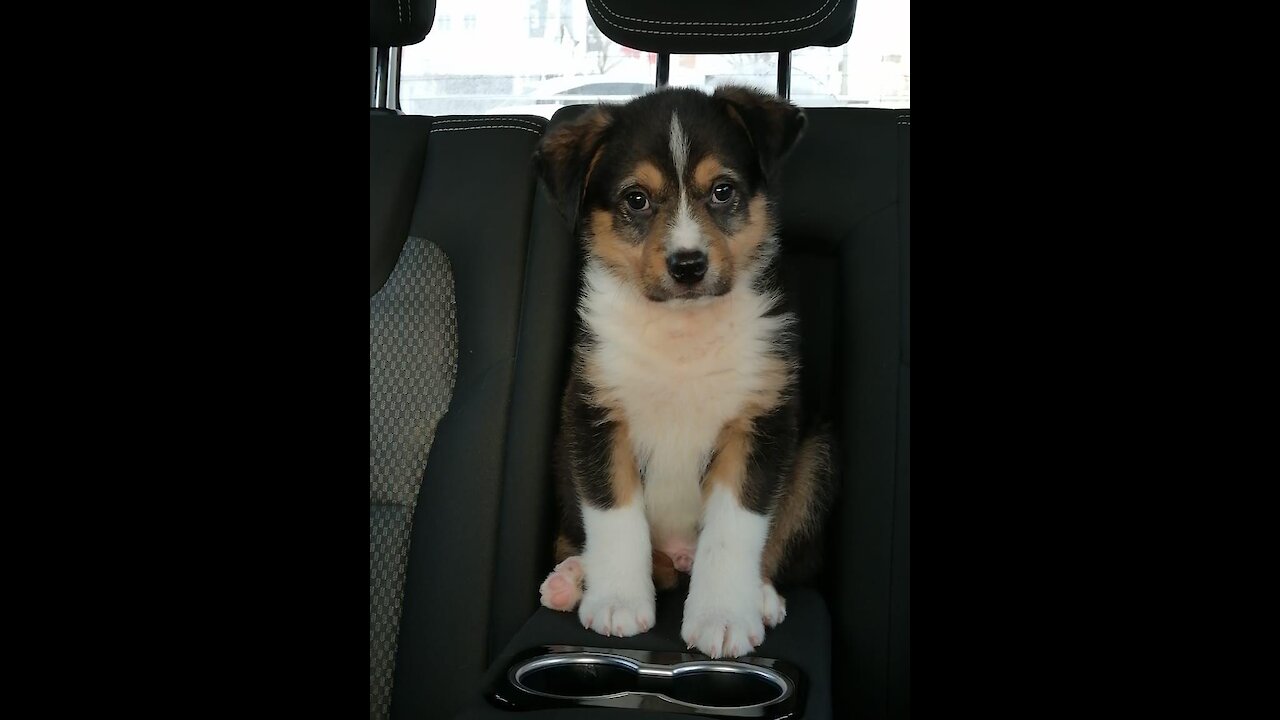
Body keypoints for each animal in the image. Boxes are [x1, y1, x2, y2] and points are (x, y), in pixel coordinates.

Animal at [529, 85, 829, 655]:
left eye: (722, 191)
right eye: (636, 199)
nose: (688, 266)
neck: (681, 333)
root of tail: (676, 554)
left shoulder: (762, 420)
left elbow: (736, 530)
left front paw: (723, 617)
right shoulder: (595, 413)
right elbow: (613, 515)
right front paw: (617, 603)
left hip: (818, 455)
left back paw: (759, 595)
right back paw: (572, 578)